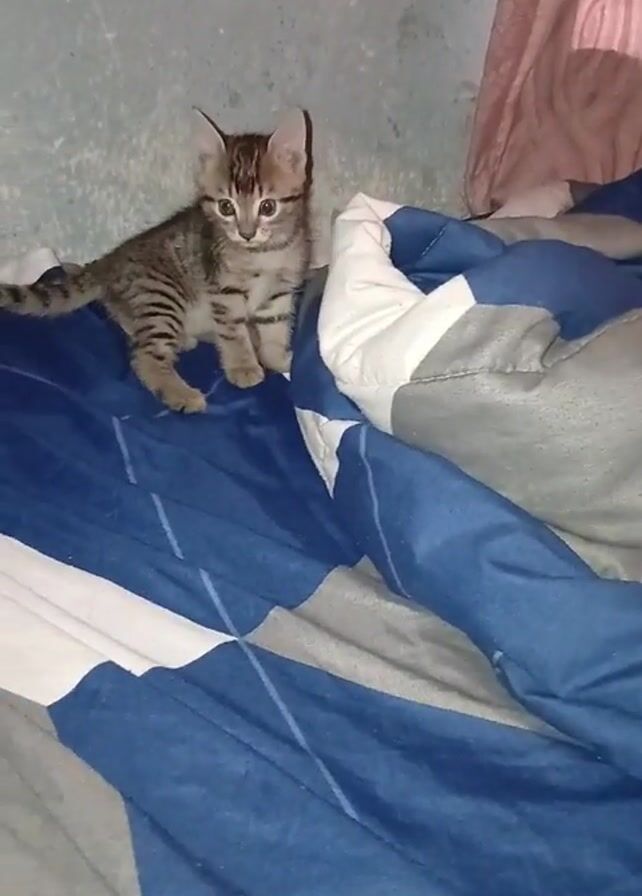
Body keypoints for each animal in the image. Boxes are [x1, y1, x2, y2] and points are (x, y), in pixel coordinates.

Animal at [0, 108, 312, 412]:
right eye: (226, 207)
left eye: (268, 207)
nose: (246, 233)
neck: (265, 253)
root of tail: (110, 260)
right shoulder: (224, 290)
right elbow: (233, 331)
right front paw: (243, 367)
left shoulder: (280, 292)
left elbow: (275, 329)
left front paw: (278, 359)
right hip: (161, 294)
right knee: (144, 355)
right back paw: (181, 394)